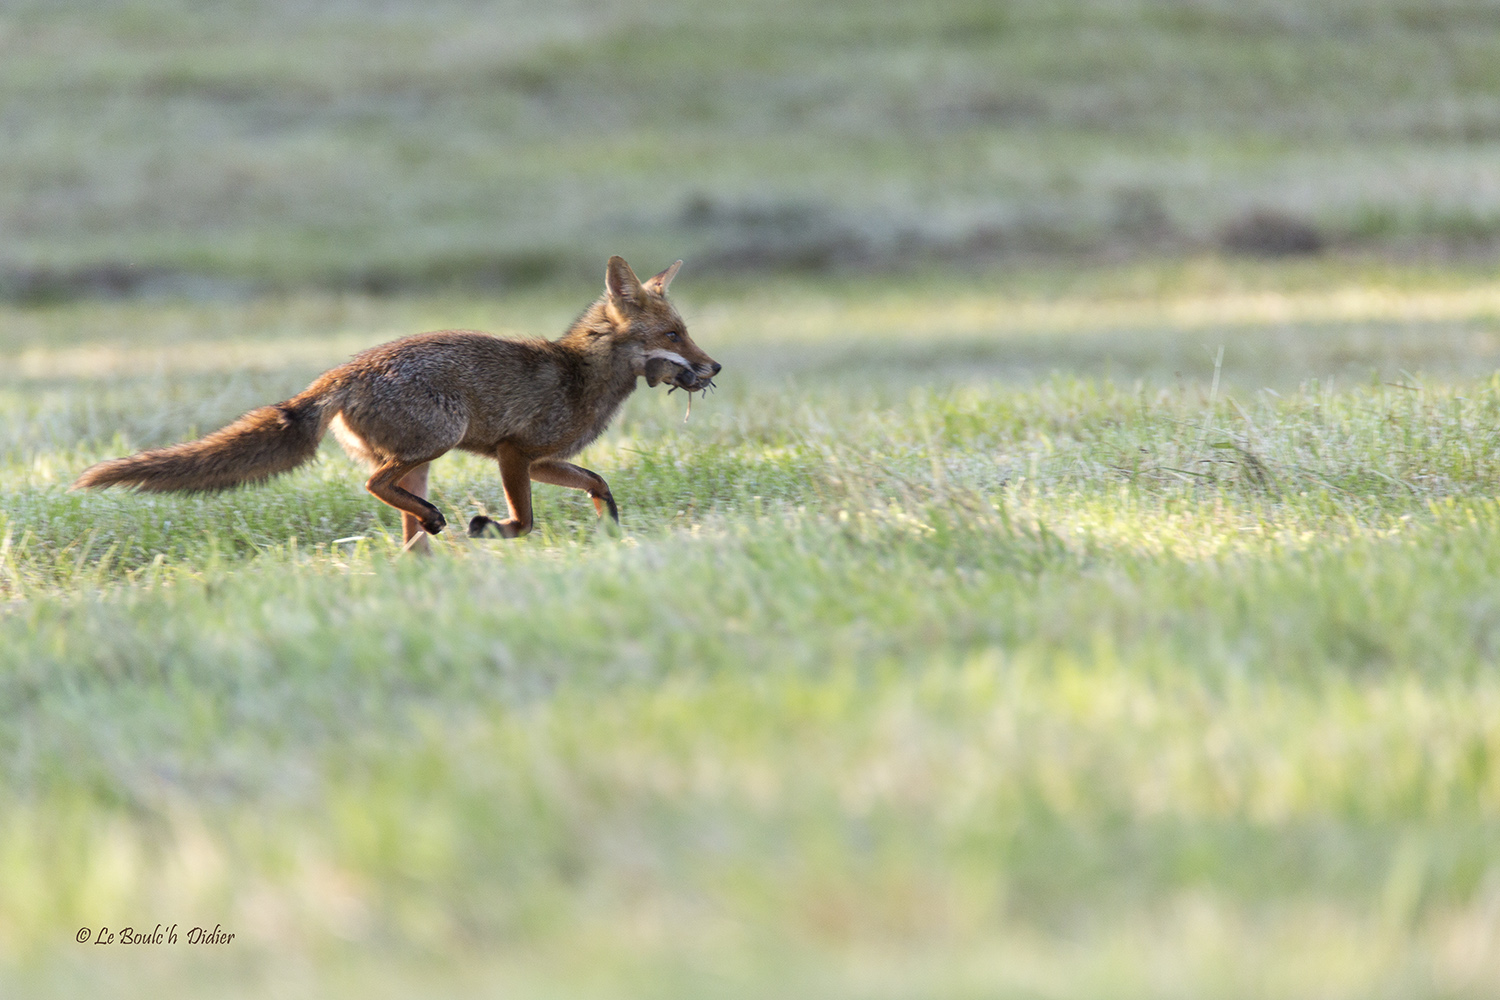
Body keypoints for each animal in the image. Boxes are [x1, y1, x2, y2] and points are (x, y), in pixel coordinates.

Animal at [74, 256, 720, 554]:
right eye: (673, 335)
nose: (714, 369)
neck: (579, 376)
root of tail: (340, 373)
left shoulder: (540, 461)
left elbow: (598, 481)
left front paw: (610, 528)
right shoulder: (514, 454)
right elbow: (527, 521)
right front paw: (492, 528)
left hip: (425, 461)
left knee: (404, 528)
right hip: (438, 440)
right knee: (376, 487)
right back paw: (437, 533)